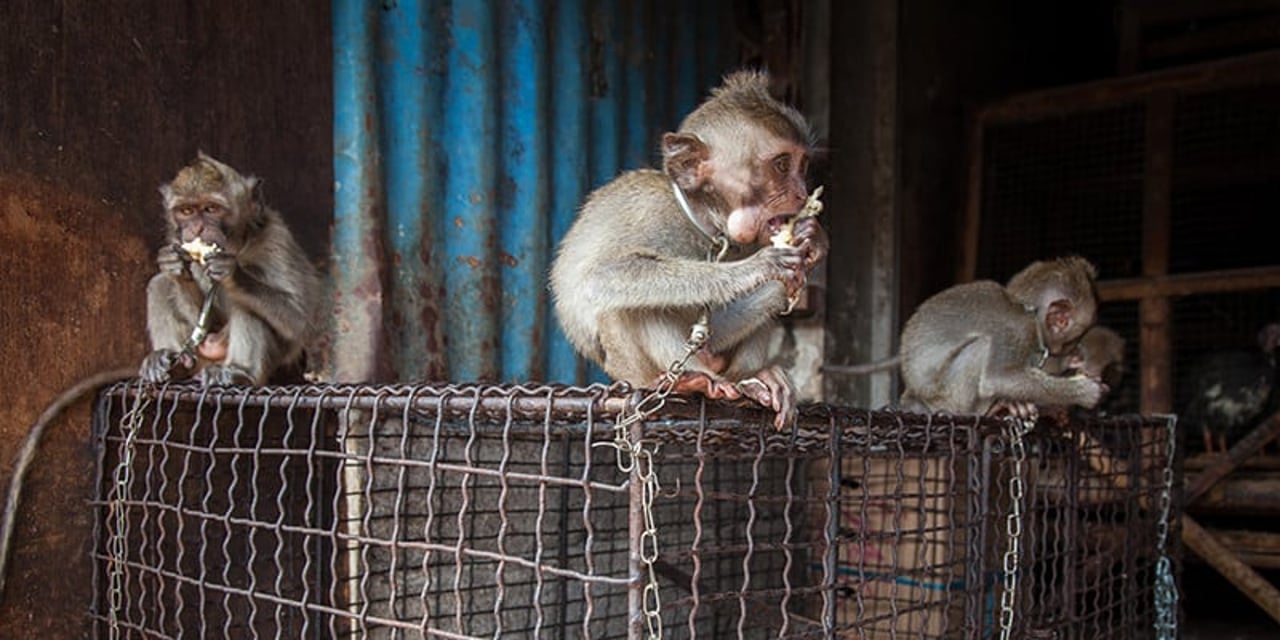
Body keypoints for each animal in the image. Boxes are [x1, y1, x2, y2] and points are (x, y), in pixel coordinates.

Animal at [550, 71, 829, 430]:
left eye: (803, 165)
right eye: (781, 165)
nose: (801, 192)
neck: (705, 222)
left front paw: (813, 243)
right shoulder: (651, 213)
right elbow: (599, 277)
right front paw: (759, 268)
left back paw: (752, 380)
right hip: (630, 371)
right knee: (622, 304)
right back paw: (691, 380)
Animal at [896, 254, 1105, 419]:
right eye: (1075, 339)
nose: (1074, 350)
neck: (1028, 311)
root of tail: (913, 395)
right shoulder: (1017, 330)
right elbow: (997, 378)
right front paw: (1083, 392)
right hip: (944, 399)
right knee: (981, 347)